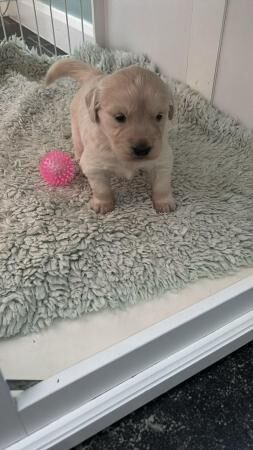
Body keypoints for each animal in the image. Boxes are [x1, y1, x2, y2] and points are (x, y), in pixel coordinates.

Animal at [45, 59, 175, 213]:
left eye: (159, 116)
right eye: (119, 117)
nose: (142, 150)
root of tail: (95, 76)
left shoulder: (163, 158)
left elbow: (162, 184)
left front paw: (164, 202)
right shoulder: (94, 165)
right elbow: (101, 189)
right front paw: (103, 204)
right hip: (76, 128)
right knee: (78, 147)